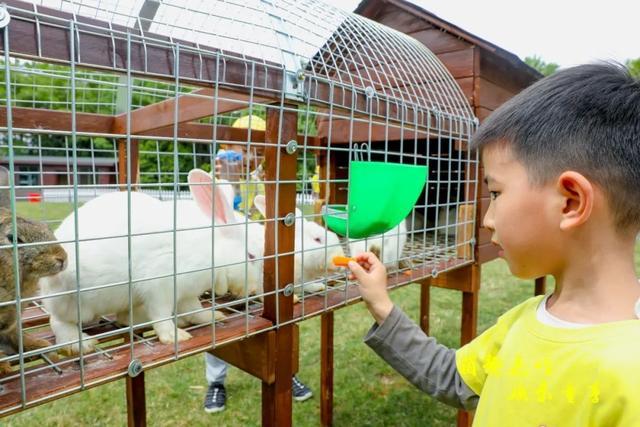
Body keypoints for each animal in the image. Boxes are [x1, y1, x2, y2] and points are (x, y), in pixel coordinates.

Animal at [40, 170, 262, 354]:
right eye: (251, 256)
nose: (255, 290)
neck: (212, 249)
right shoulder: (160, 286)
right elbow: (161, 314)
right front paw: (174, 337)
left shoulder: (187, 293)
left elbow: (195, 309)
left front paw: (213, 316)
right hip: (72, 302)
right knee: (58, 321)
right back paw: (80, 344)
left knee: (124, 318)